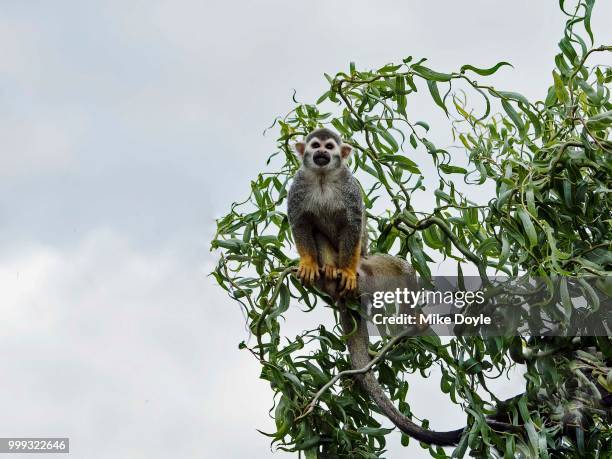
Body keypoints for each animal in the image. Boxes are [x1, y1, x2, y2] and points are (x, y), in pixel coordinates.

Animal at [288, 127, 368, 296]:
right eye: (316, 145)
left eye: (329, 147)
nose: (322, 152)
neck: (322, 176)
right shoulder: (298, 183)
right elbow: (300, 222)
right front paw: (309, 263)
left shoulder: (348, 184)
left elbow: (353, 224)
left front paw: (347, 271)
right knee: (318, 233)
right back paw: (330, 267)